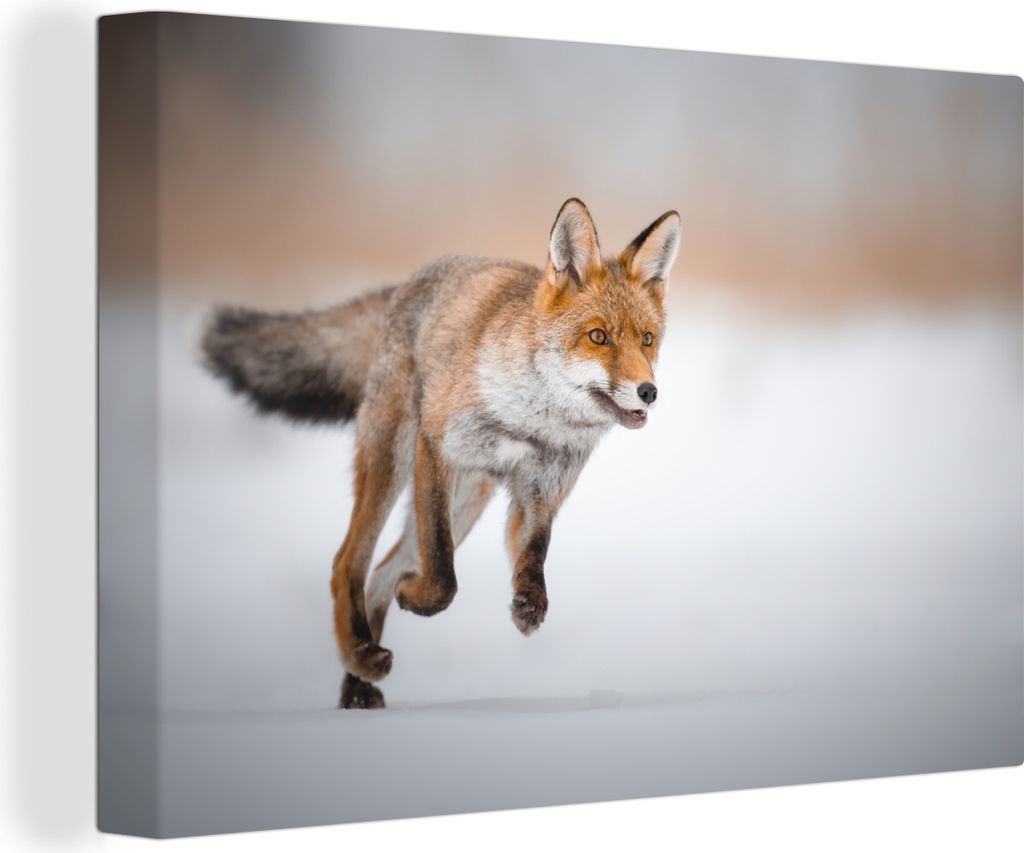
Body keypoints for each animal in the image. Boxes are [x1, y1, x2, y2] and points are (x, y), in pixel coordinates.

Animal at [201, 198, 682, 709]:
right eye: (598, 337)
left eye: (647, 339)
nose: (648, 391)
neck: (532, 422)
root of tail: (409, 283)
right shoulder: (436, 447)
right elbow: (443, 570)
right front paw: (418, 599)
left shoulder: (541, 490)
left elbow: (534, 553)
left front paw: (528, 606)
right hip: (394, 459)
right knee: (348, 563)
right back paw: (360, 655)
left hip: (467, 501)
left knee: (380, 574)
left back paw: (358, 687)